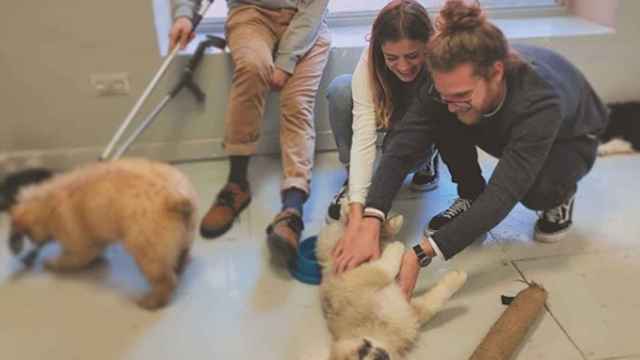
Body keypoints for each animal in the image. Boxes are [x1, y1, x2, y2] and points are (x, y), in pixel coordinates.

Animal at [7, 158, 198, 310]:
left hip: (147, 252)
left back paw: (152, 301)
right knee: (181, 257)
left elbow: (69, 259)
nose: (26, 257)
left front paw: (52, 263)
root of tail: (173, 196)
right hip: (183, 239)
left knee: (165, 281)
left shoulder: (79, 246)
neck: (48, 205)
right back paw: (179, 268)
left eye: (28, 236)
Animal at [318, 211, 468, 360]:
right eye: (362, 354)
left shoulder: (365, 276)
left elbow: (387, 267)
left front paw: (397, 246)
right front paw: (457, 278)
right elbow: (435, 301)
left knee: (359, 223)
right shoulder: (410, 310)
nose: (382, 356)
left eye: (363, 349)